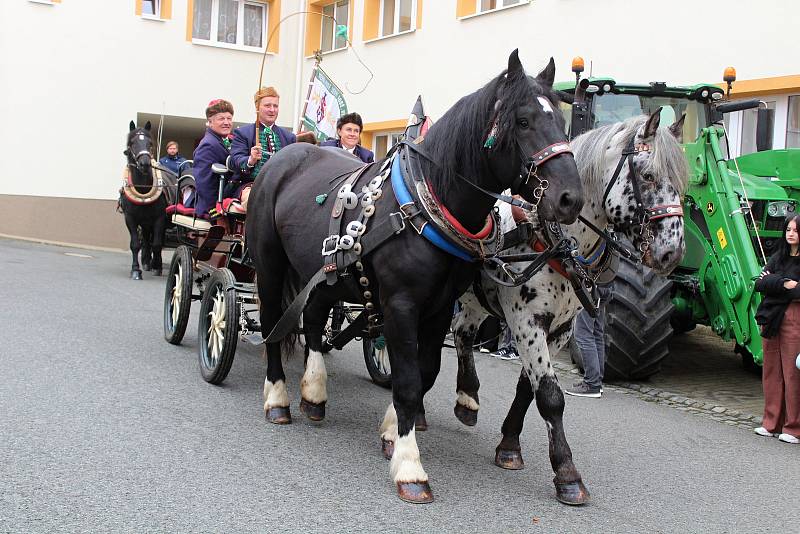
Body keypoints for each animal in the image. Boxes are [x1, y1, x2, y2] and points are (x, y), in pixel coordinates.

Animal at [119, 121, 166, 280]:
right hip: (144, 223)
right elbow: (135, 244)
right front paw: (136, 270)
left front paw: (157, 266)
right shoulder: (130, 218)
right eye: (132, 143)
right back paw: (146, 262)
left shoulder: (160, 218)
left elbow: (157, 244)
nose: (145, 163)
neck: (143, 188)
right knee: (145, 241)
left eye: (150, 143)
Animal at [247, 48, 584, 504]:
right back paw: (278, 399)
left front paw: (392, 432)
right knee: (272, 325)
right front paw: (410, 466)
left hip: (326, 271)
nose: (570, 198)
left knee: (313, 320)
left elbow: (425, 371)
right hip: (270, 265)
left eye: (563, 123)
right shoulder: (401, 304)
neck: (425, 203)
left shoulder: (440, 307)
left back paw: (313, 393)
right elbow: (407, 380)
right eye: (523, 120)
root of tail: (284, 156)